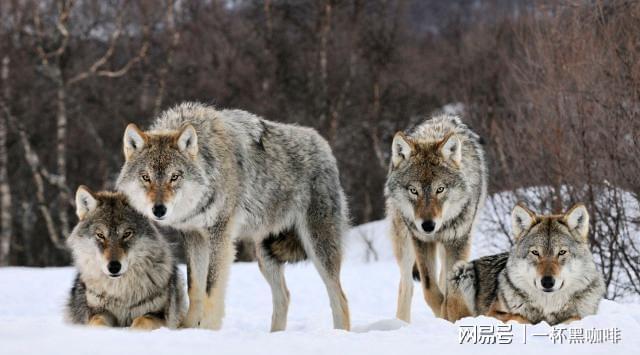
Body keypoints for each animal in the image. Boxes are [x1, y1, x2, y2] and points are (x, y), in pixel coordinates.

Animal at [65, 188, 185, 330]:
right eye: (100, 235)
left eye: (127, 234)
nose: (114, 267)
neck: (121, 292)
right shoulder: (98, 311)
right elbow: (97, 322)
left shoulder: (159, 315)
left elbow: (142, 321)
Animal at [117, 101, 352, 332]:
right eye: (146, 177)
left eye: (174, 177)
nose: (159, 210)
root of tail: (324, 145)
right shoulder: (193, 236)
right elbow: (195, 287)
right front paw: (188, 328)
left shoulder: (220, 235)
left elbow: (211, 289)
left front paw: (208, 330)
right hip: (265, 255)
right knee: (284, 296)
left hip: (318, 247)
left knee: (340, 298)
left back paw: (339, 333)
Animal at [384, 114, 484, 322]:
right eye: (414, 191)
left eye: (440, 189)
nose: (428, 225)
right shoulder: (421, 241)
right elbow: (430, 290)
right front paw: (442, 315)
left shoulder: (458, 241)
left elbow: (450, 289)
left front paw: (451, 315)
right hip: (404, 243)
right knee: (406, 285)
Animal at [448, 203, 604, 326]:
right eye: (535, 252)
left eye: (562, 252)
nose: (547, 282)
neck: (547, 306)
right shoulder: (492, 313)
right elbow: (518, 316)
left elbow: (575, 318)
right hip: (461, 271)